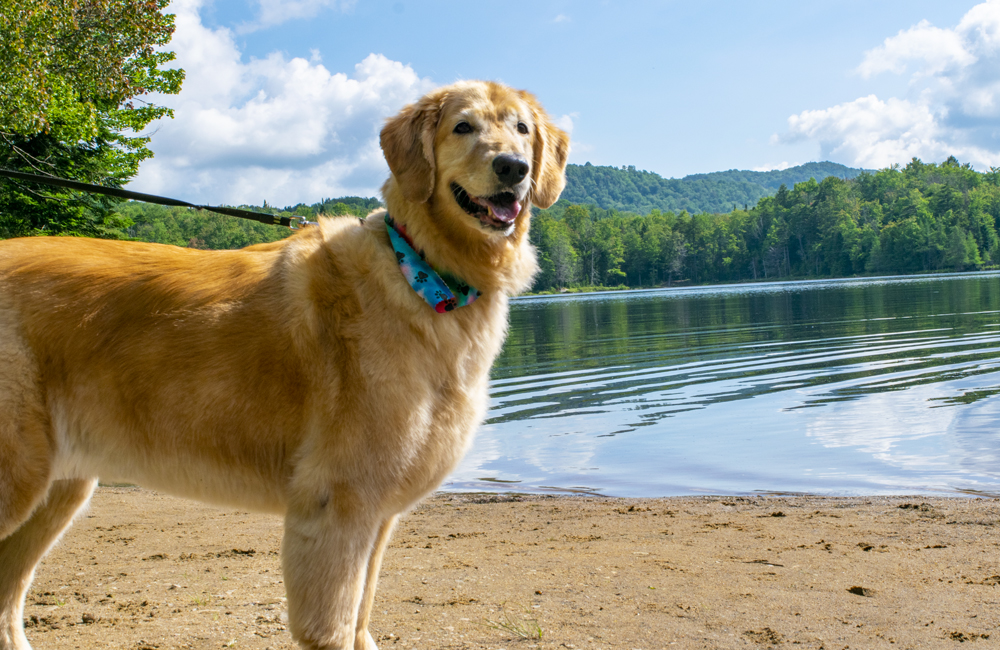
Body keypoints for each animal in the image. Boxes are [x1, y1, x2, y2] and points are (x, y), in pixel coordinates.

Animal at [0, 82, 568, 648]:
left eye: (521, 129)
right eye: (463, 127)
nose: (513, 168)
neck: (421, 272)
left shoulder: (377, 514)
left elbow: (363, 621)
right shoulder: (338, 507)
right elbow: (338, 627)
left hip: (58, 487)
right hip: (20, 478)